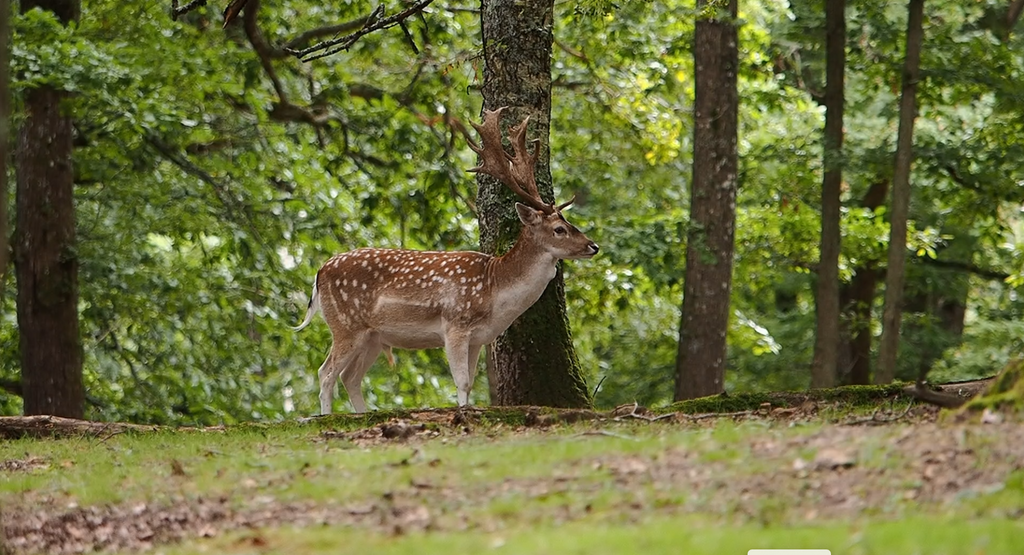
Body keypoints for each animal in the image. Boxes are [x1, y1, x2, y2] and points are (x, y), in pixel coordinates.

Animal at [294, 107, 598, 413]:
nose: (593, 246)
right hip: (346, 323)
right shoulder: (455, 324)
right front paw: (463, 413)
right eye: (559, 229)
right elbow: (462, 382)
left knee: (349, 377)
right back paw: (324, 417)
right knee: (326, 373)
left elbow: (470, 382)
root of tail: (319, 273)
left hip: (373, 336)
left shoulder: (477, 339)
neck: (494, 289)